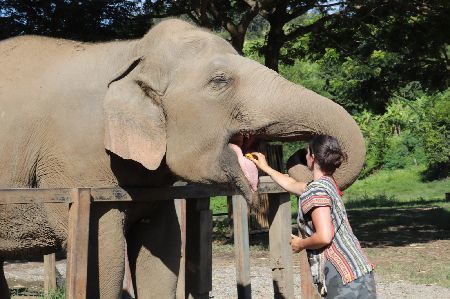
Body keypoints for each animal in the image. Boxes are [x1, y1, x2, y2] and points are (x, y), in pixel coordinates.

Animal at [0, 19, 366, 298]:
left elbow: (163, 249)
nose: (304, 156)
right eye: (220, 81)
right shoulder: (76, 169)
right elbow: (103, 258)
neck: (130, 52)